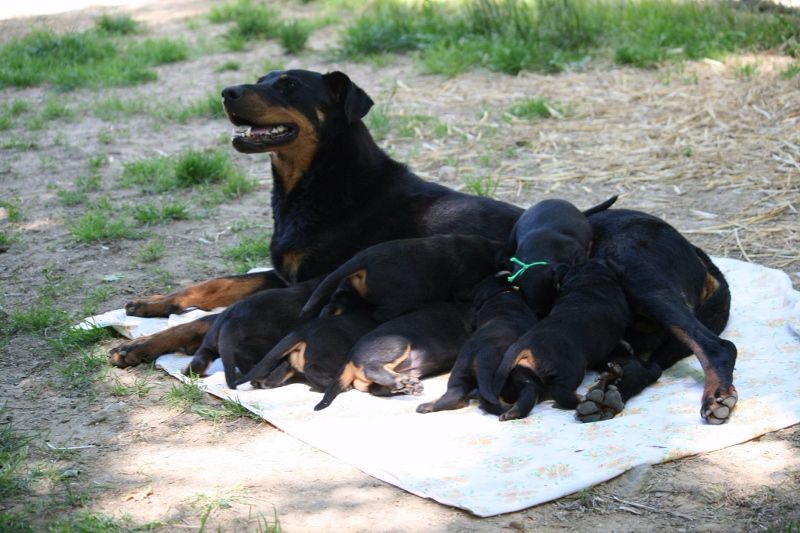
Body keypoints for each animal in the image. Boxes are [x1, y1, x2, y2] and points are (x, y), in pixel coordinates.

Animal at [296, 236, 504, 320]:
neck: (488, 250)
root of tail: (363, 259)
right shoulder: (465, 282)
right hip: (402, 298)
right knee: (381, 314)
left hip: (349, 289)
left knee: (334, 304)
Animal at [314, 302, 476, 410]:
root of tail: (350, 356)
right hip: (399, 342)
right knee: (372, 369)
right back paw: (403, 382)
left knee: (375, 388)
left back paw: (407, 386)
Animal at [494, 258, 632, 420]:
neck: (587, 279)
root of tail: (524, 345)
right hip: (571, 368)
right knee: (560, 392)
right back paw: (586, 399)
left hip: (525, 376)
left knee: (527, 395)